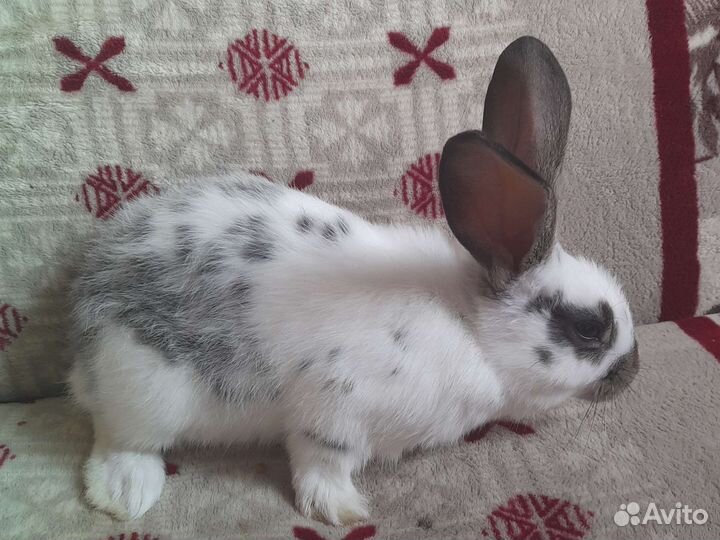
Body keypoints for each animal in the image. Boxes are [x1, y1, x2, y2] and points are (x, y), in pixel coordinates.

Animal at [68, 36, 639, 525]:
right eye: (590, 328)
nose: (631, 374)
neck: (471, 329)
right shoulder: (333, 409)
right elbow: (321, 461)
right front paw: (341, 510)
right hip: (147, 387)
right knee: (116, 436)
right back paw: (126, 493)